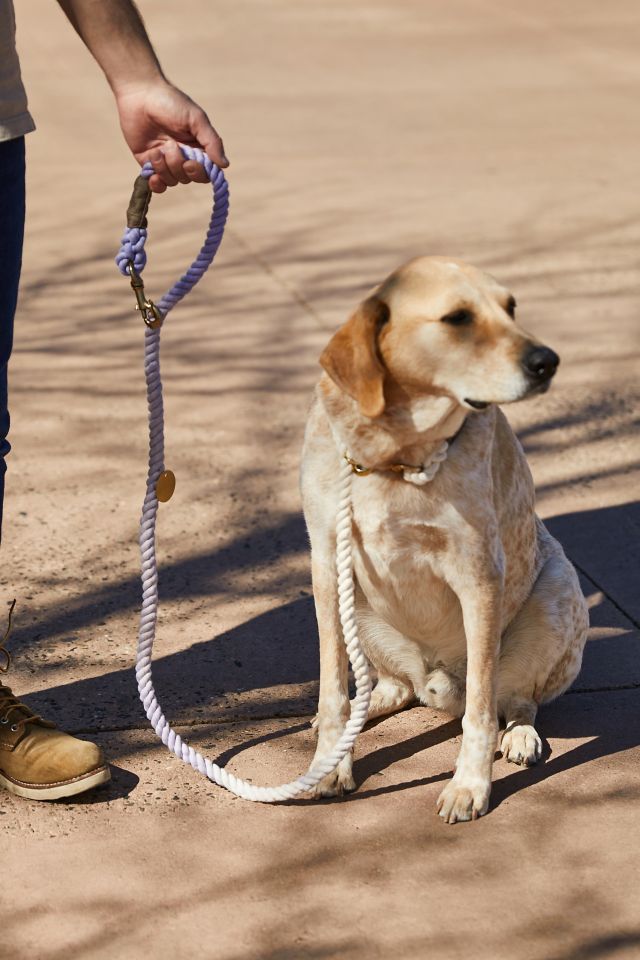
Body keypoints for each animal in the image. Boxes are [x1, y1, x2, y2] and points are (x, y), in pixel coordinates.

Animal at [302, 256, 592, 824]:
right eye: (458, 318)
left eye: (512, 307)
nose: (548, 361)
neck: (392, 459)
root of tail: (435, 684)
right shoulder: (326, 565)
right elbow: (333, 691)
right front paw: (332, 763)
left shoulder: (477, 577)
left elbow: (480, 712)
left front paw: (469, 786)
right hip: (359, 609)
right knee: (387, 689)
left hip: (559, 588)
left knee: (513, 700)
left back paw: (520, 735)